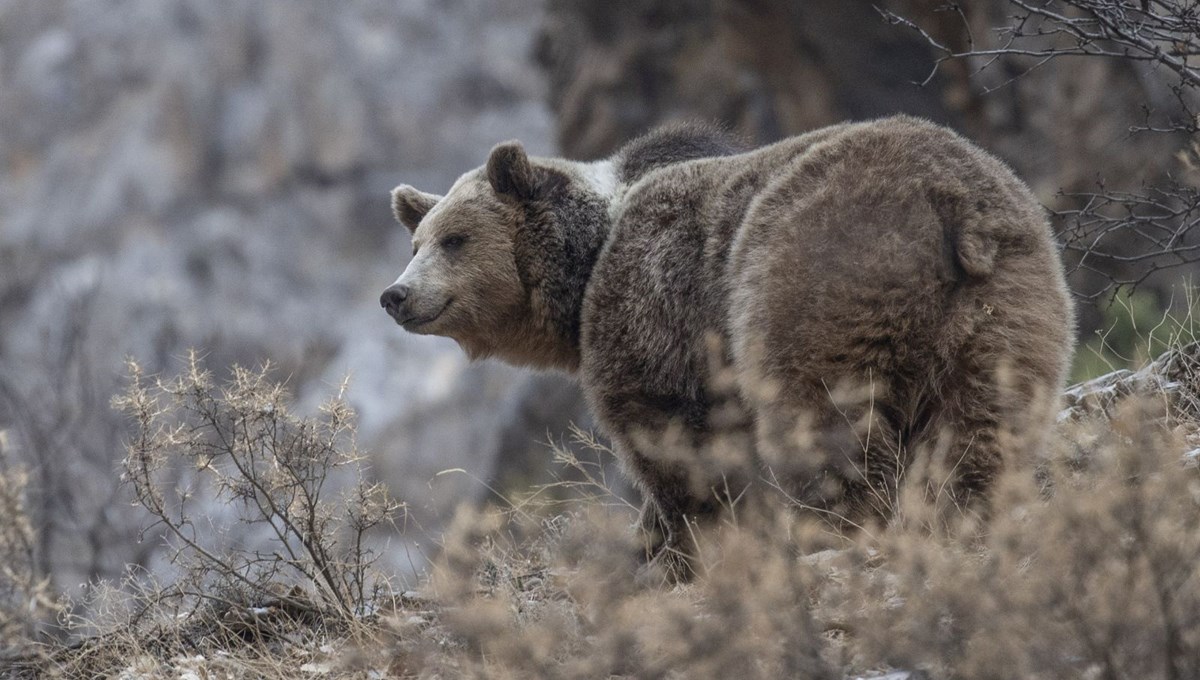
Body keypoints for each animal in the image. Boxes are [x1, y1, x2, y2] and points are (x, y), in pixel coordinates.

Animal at [381, 115, 1080, 568]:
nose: (396, 295)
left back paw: (846, 527)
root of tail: (949, 200)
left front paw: (673, 542)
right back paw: (966, 509)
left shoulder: (654, 308)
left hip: (816, 276)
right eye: (416, 242)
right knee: (985, 418)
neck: (585, 265)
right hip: (1006, 301)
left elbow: (671, 441)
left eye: (455, 239)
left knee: (826, 414)